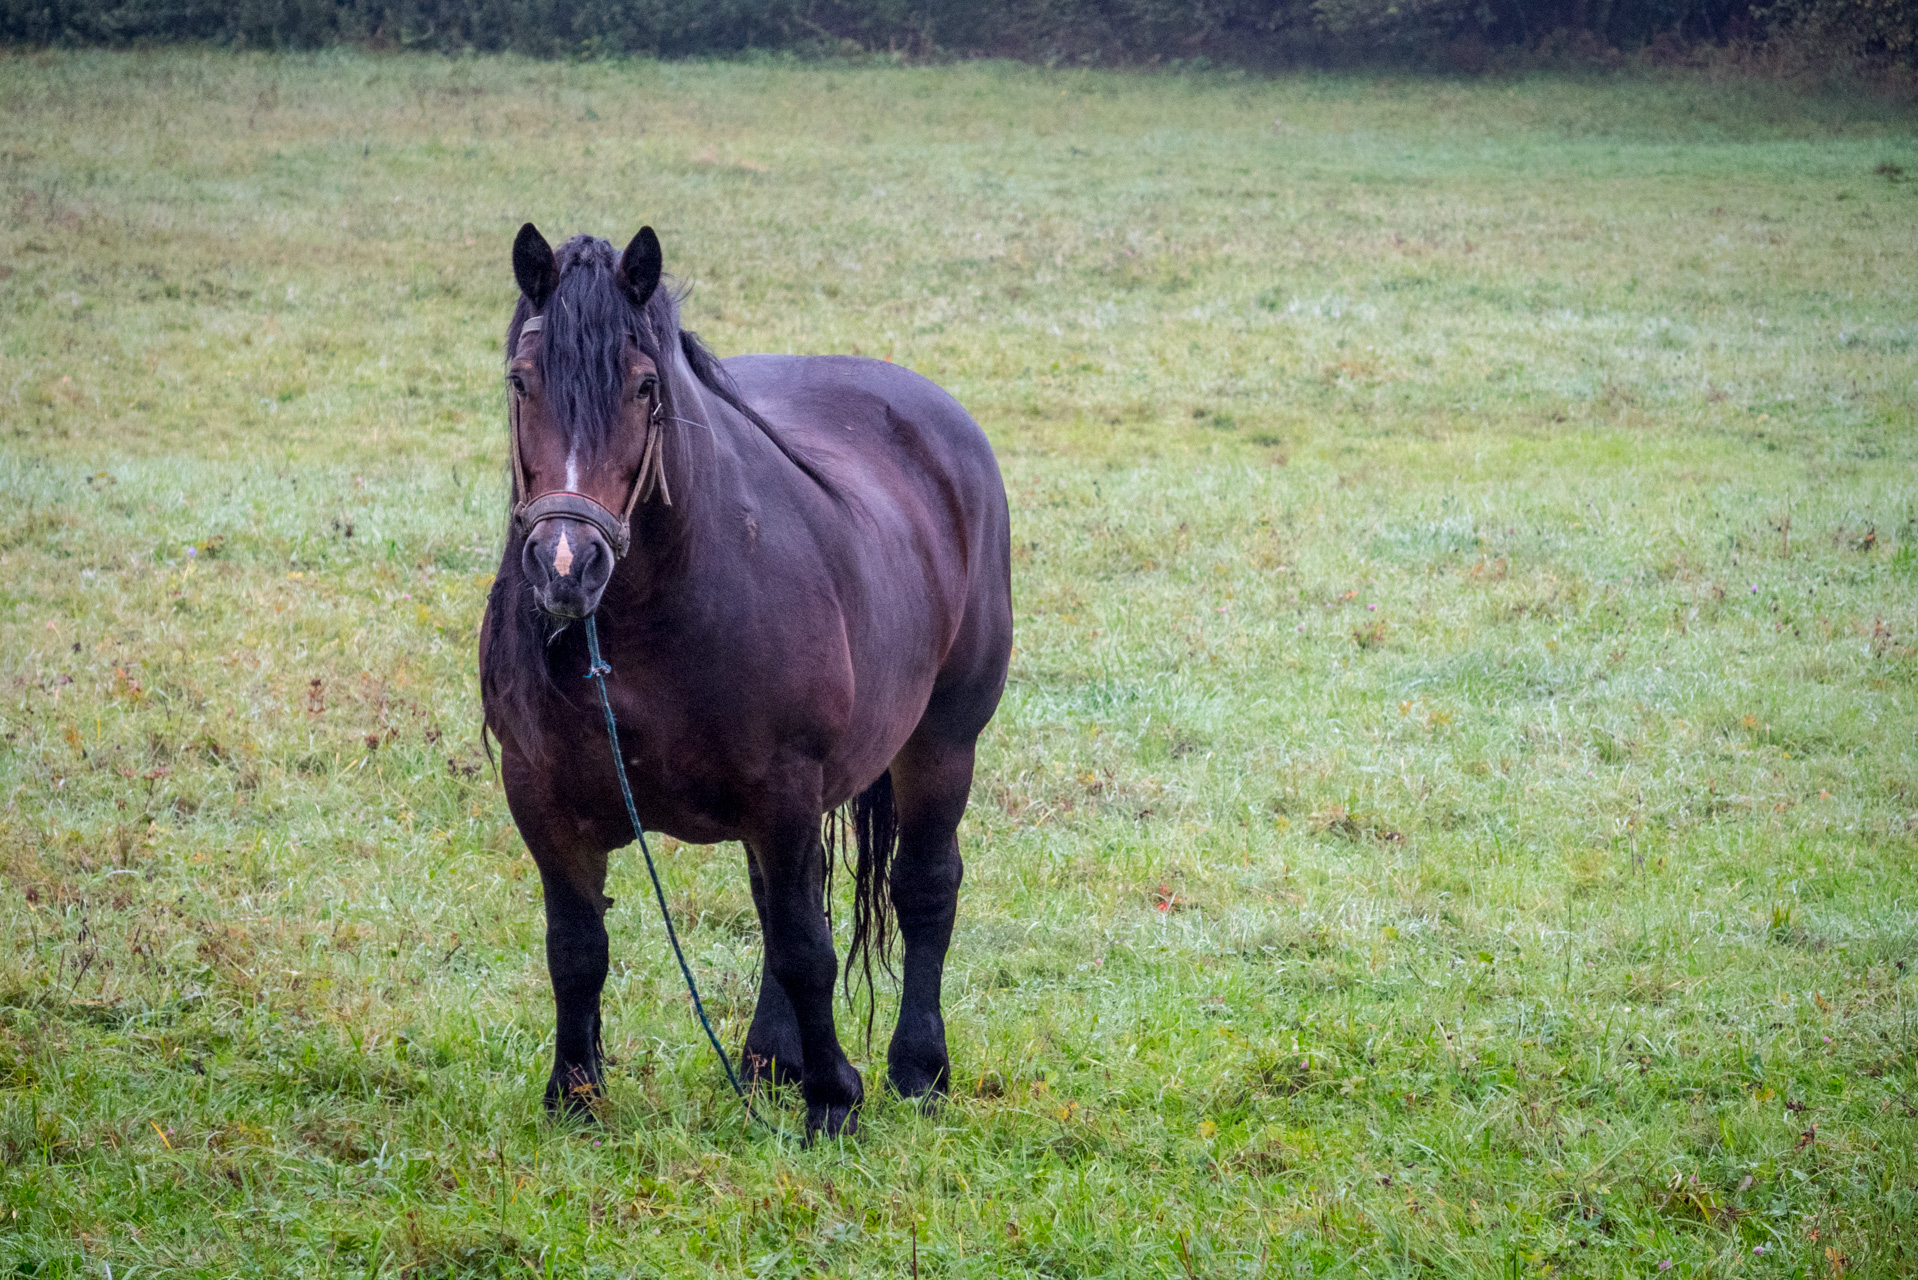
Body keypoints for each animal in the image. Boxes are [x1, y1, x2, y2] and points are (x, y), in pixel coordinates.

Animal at [477, 225, 1012, 1136]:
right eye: (521, 379)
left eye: (645, 385)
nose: (566, 566)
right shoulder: (542, 799)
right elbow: (577, 952)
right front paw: (574, 1096)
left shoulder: (786, 787)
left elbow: (807, 950)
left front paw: (835, 1100)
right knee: (777, 900)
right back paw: (767, 1061)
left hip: (942, 743)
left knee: (921, 890)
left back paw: (918, 1067)